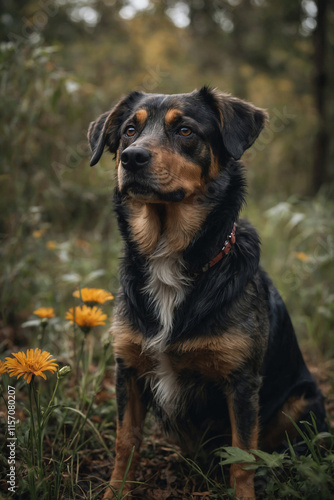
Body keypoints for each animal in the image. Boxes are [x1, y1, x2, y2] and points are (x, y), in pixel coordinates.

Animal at [87, 88, 328, 498]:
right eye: (129, 130)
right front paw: (115, 492)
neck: (170, 260)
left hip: (303, 400)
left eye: (185, 130)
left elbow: (243, 457)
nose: (132, 157)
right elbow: (125, 442)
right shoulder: (129, 368)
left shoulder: (241, 382)